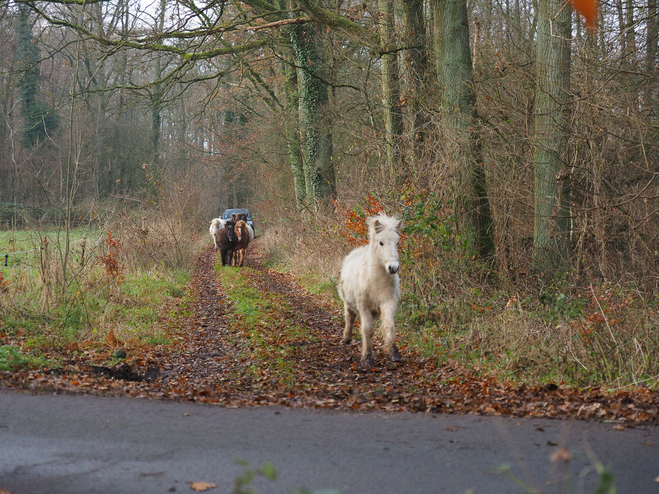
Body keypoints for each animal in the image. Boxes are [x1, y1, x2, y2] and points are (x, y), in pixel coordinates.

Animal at [340, 214, 402, 364]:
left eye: (397, 243)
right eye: (381, 242)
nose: (393, 268)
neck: (377, 281)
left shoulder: (388, 303)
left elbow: (389, 326)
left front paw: (394, 354)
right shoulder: (364, 306)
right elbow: (367, 330)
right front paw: (367, 357)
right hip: (348, 304)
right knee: (349, 318)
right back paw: (347, 338)